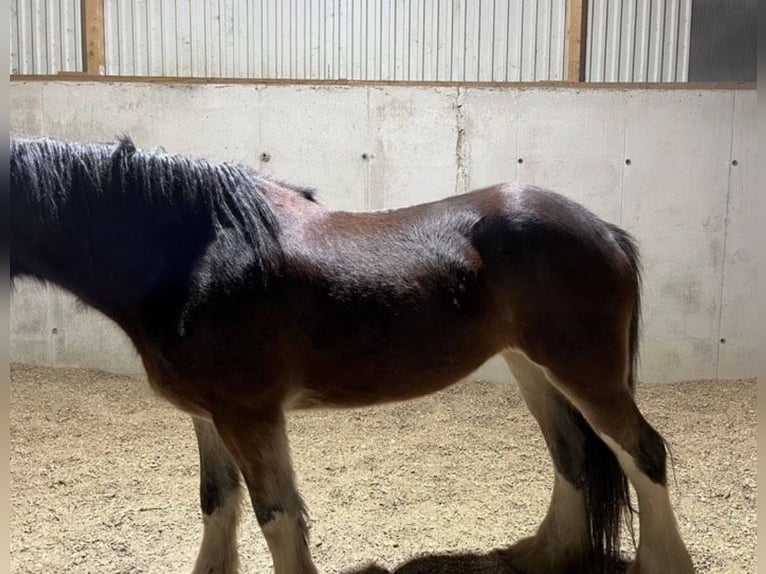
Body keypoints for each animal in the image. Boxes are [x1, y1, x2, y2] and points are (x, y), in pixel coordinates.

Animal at [9, 136, 694, 574]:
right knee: (573, 455)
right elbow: (218, 505)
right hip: (533, 367)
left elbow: (278, 517)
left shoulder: (249, 415)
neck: (198, 256)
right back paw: (543, 557)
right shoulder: (209, 416)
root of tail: (606, 231)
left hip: (585, 371)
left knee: (643, 454)